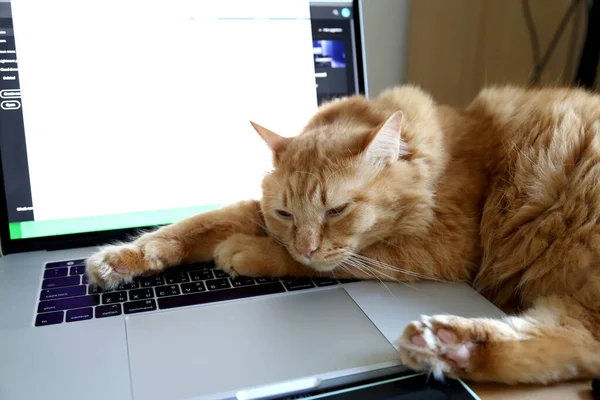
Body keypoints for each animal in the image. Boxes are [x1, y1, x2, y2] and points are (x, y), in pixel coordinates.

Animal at [84, 86, 600, 386]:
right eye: (286, 212)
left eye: (336, 210)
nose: (306, 241)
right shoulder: (261, 214)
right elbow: (199, 223)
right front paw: (123, 257)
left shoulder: (441, 249)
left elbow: (316, 260)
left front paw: (248, 252)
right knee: (574, 343)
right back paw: (449, 345)